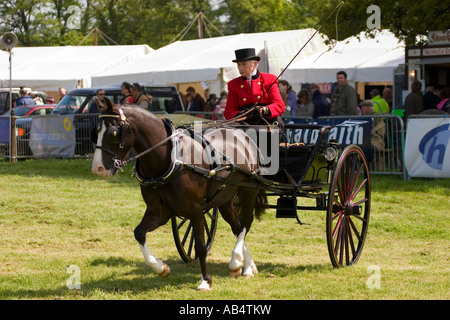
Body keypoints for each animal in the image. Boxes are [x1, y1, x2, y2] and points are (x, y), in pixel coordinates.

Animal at [91, 99, 268, 292]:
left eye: (113, 133)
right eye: (95, 132)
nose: (97, 169)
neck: (170, 159)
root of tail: (242, 134)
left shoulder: (196, 210)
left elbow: (200, 247)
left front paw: (206, 281)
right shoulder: (159, 212)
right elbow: (139, 233)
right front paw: (160, 267)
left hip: (249, 190)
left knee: (246, 224)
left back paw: (236, 261)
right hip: (224, 198)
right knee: (237, 227)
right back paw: (247, 266)